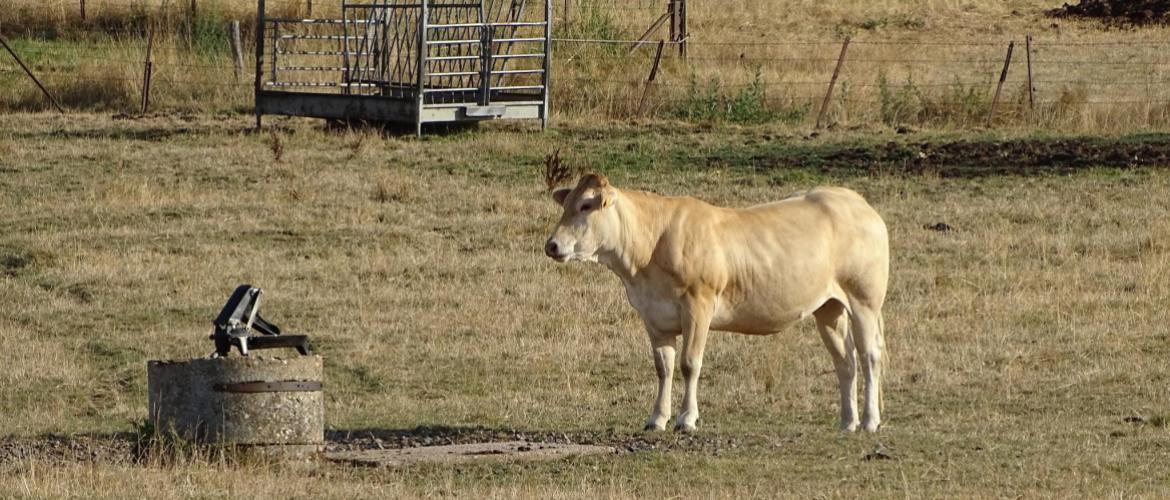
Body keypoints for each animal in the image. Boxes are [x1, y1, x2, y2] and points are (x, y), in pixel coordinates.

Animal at [545, 174, 884, 433]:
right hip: (828, 308)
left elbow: (689, 363)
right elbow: (663, 367)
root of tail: (857, 202)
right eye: (566, 203)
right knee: (845, 361)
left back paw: (870, 420)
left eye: (586, 205)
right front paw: (657, 418)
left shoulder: (699, 305)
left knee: (869, 356)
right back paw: (848, 422)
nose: (552, 245)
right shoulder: (653, 316)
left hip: (864, 300)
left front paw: (686, 418)